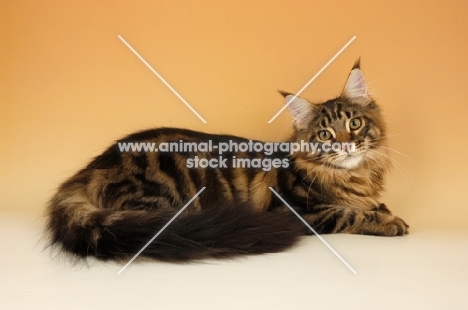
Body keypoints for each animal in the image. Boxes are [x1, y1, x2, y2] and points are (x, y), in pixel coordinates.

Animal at [45, 60, 408, 262]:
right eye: (324, 135)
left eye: (354, 124)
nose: (347, 146)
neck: (355, 177)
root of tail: (92, 168)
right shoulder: (300, 212)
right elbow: (348, 214)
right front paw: (390, 222)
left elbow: (370, 206)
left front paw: (384, 210)